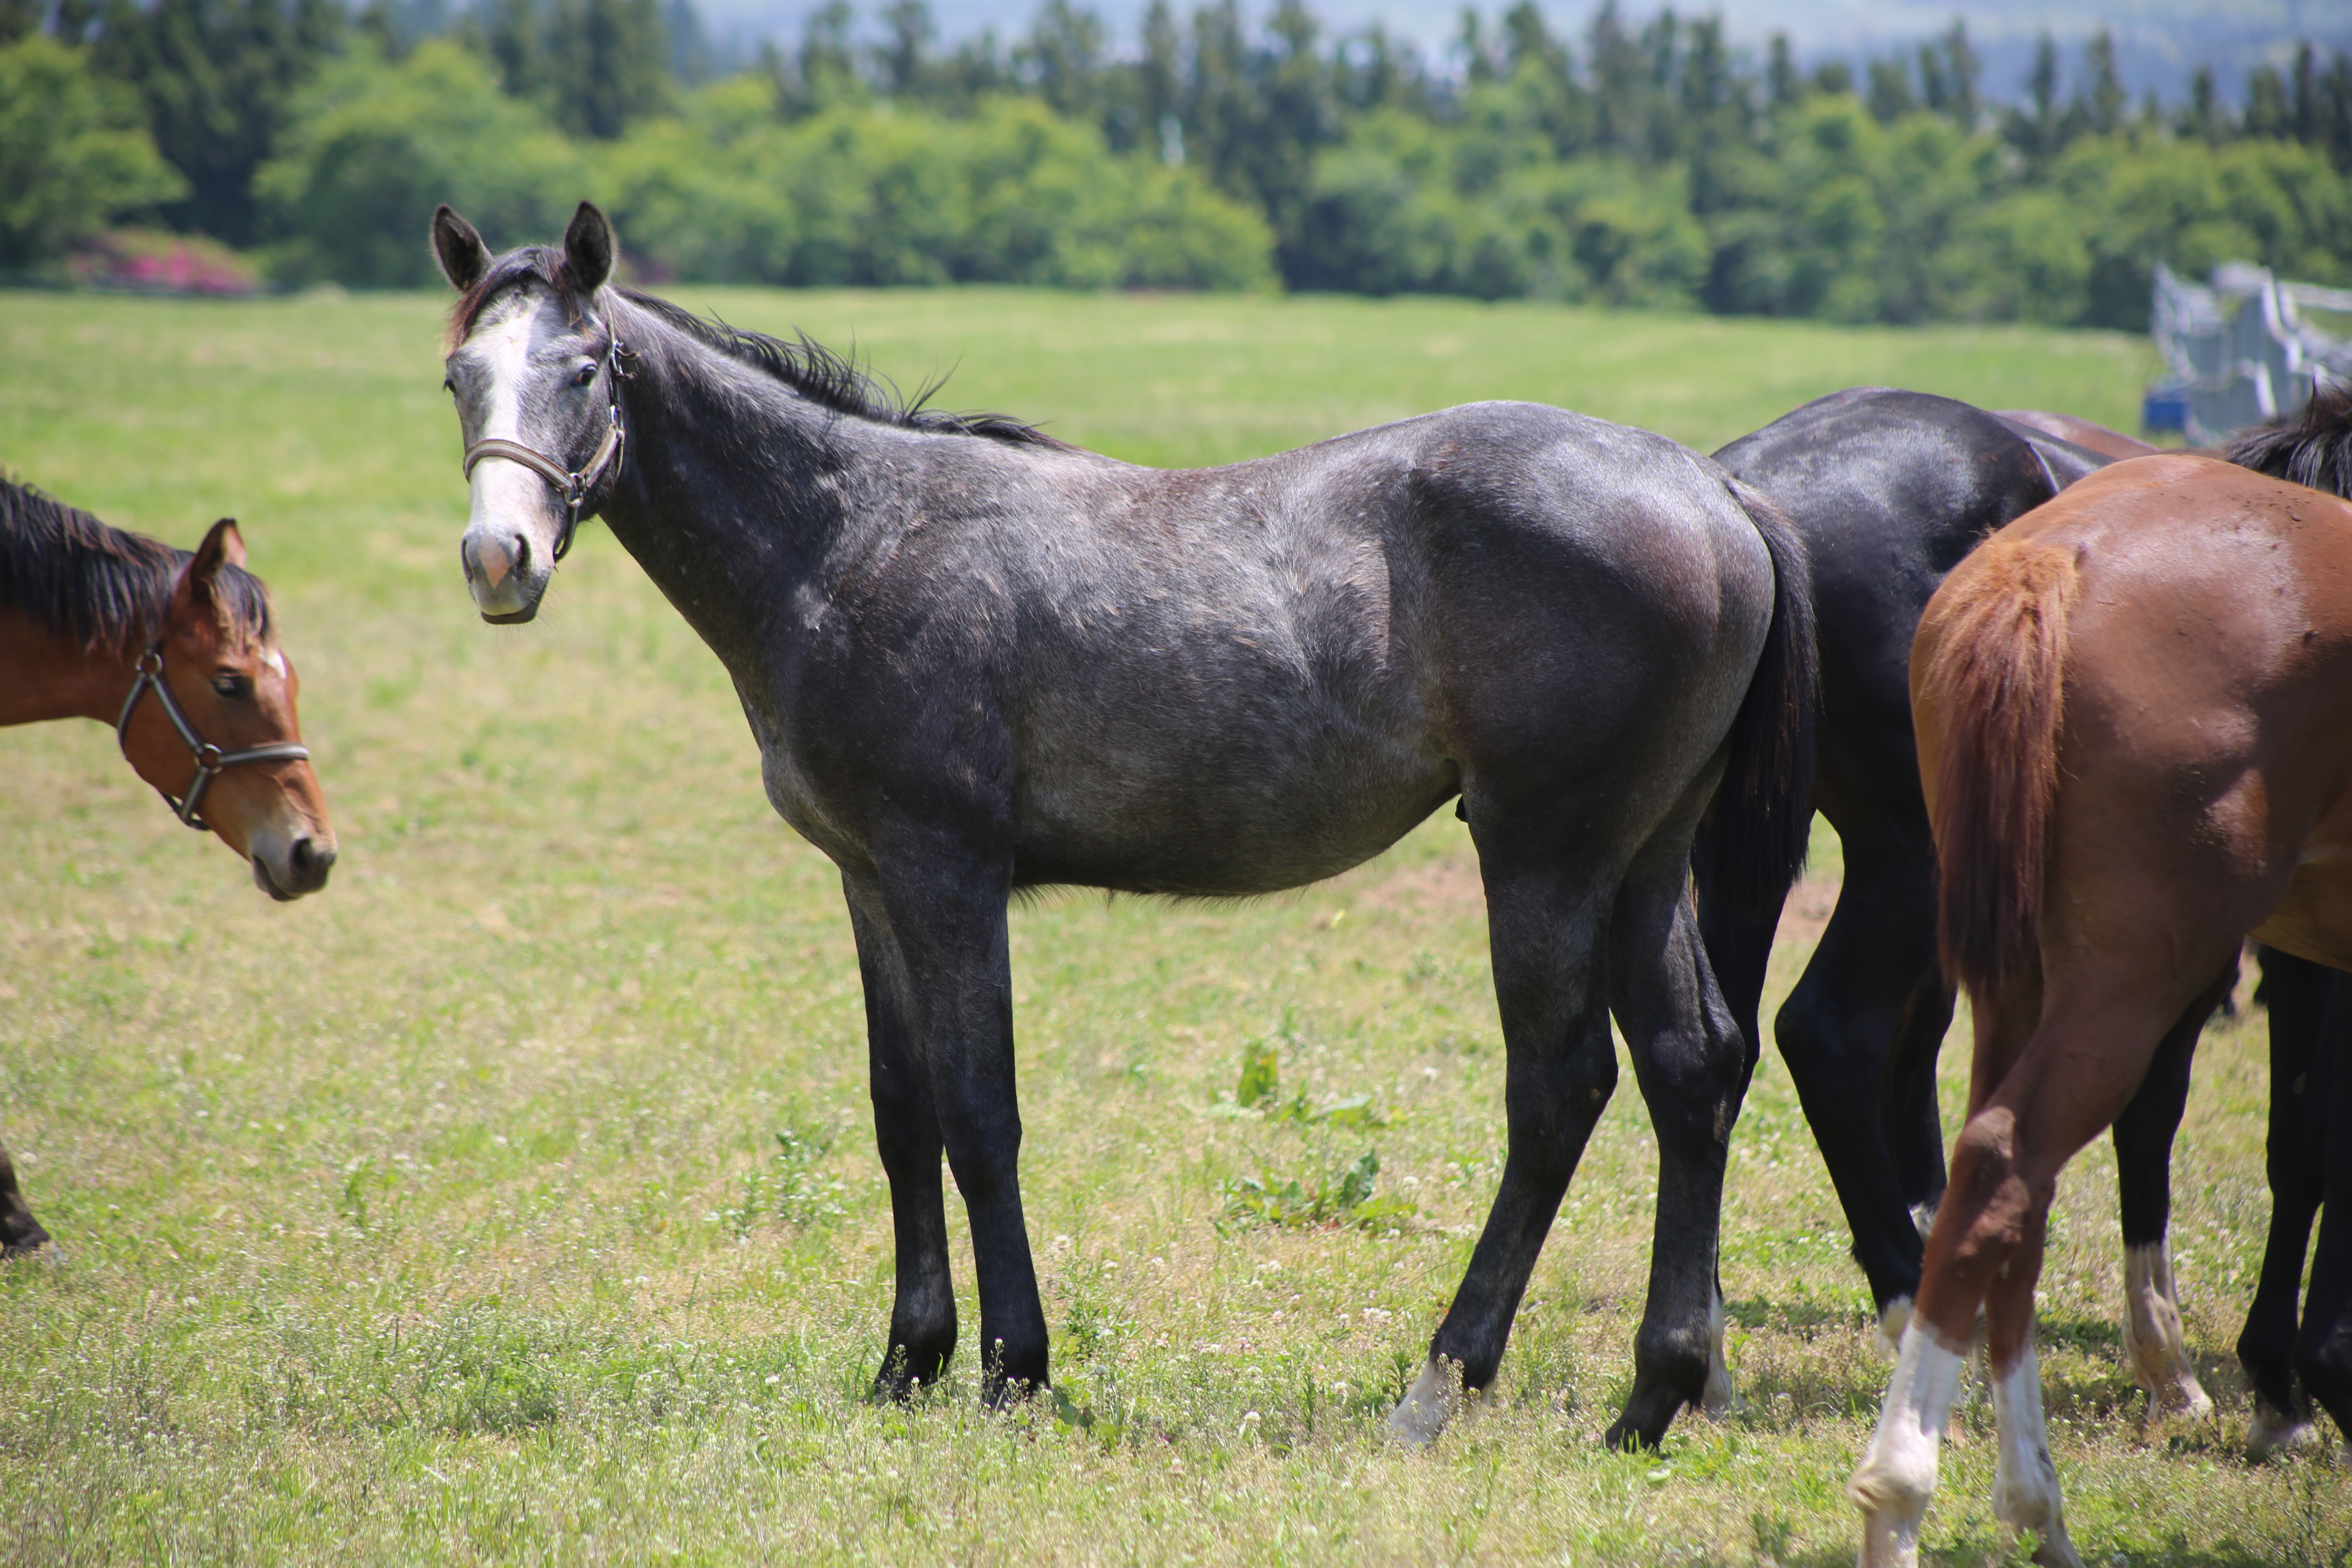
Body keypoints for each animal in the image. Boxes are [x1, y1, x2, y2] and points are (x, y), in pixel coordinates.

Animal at [428, 205, 1815, 1448]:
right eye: (457, 377)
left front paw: (1013, 1372)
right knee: (1693, 1066)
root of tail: (1712, 487)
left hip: (1545, 854)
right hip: (1644, 860)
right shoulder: (870, 879)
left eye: (585, 367)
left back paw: (1439, 1385)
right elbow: (902, 1109)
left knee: (1560, 1086)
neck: (846, 537)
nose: (499, 561)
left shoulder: (947, 872)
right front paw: (907, 1364)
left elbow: (980, 1113)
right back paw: (1656, 1395)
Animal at [1844, 425, 2352, 1561]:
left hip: (2022, 978)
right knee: (2003, 1163)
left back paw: (2036, 1505)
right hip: (2131, 977)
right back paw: (1902, 1492)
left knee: (1998, 1193)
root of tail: (2052, 560)